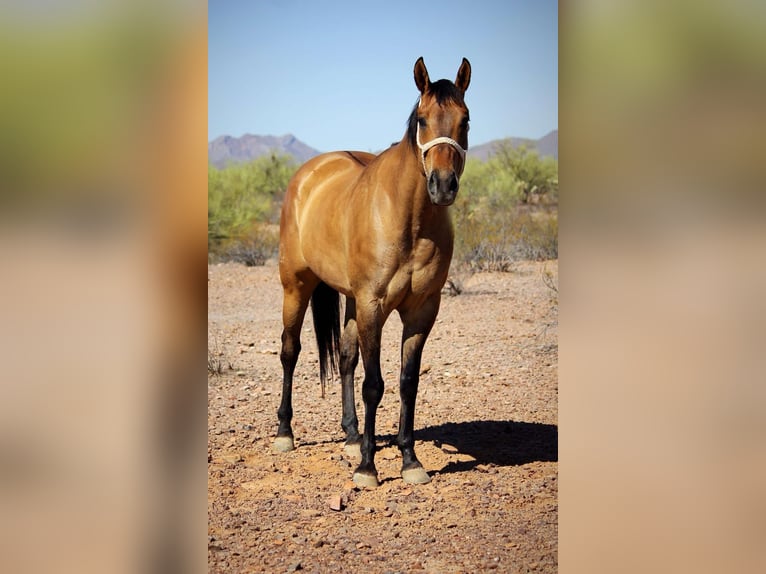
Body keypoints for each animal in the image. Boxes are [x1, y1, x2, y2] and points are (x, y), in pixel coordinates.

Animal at [274, 57, 471, 487]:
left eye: (465, 119)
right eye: (422, 120)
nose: (443, 186)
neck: (408, 218)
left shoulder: (422, 310)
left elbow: (407, 382)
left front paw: (410, 461)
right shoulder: (373, 305)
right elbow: (374, 385)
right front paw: (368, 468)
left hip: (349, 299)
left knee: (346, 358)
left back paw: (350, 437)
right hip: (296, 286)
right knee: (290, 351)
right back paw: (285, 433)